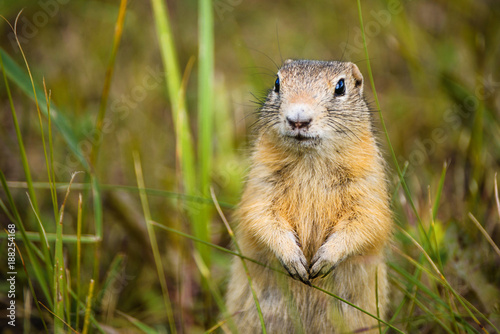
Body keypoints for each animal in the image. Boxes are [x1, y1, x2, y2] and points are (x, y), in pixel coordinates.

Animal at [225, 58, 392, 332]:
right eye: (277, 83)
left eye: (340, 87)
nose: (298, 120)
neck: (310, 160)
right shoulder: (261, 180)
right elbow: (259, 216)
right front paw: (295, 262)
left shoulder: (368, 183)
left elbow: (367, 221)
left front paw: (322, 261)